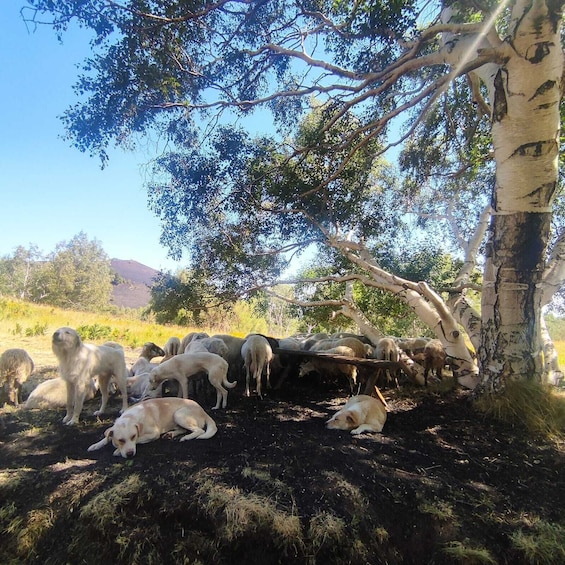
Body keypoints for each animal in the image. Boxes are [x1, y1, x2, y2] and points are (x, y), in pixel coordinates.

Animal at [87, 396, 217, 458]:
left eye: (133, 436)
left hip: (179, 414)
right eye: (121, 440)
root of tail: (203, 410)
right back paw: (171, 434)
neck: (131, 417)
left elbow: (139, 440)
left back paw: (187, 437)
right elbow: (106, 437)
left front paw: (117, 451)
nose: (130, 454)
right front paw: (95, 445)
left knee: (199, 431)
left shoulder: (154, 433)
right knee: (182, 429)